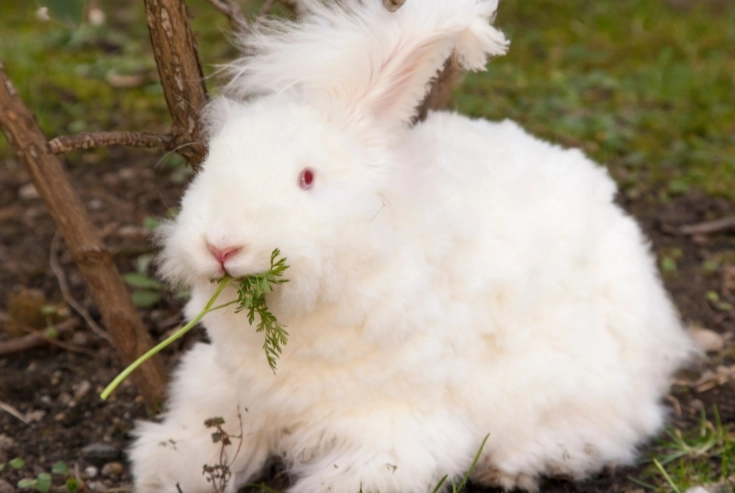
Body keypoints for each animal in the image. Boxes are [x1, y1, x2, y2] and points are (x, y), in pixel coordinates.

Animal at [129, 0, 694, 492]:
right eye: (210, 164)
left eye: (307, 177)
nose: (221, 245)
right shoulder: (229, 389)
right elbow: (203, 433)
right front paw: (161, 472)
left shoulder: (394, 428)